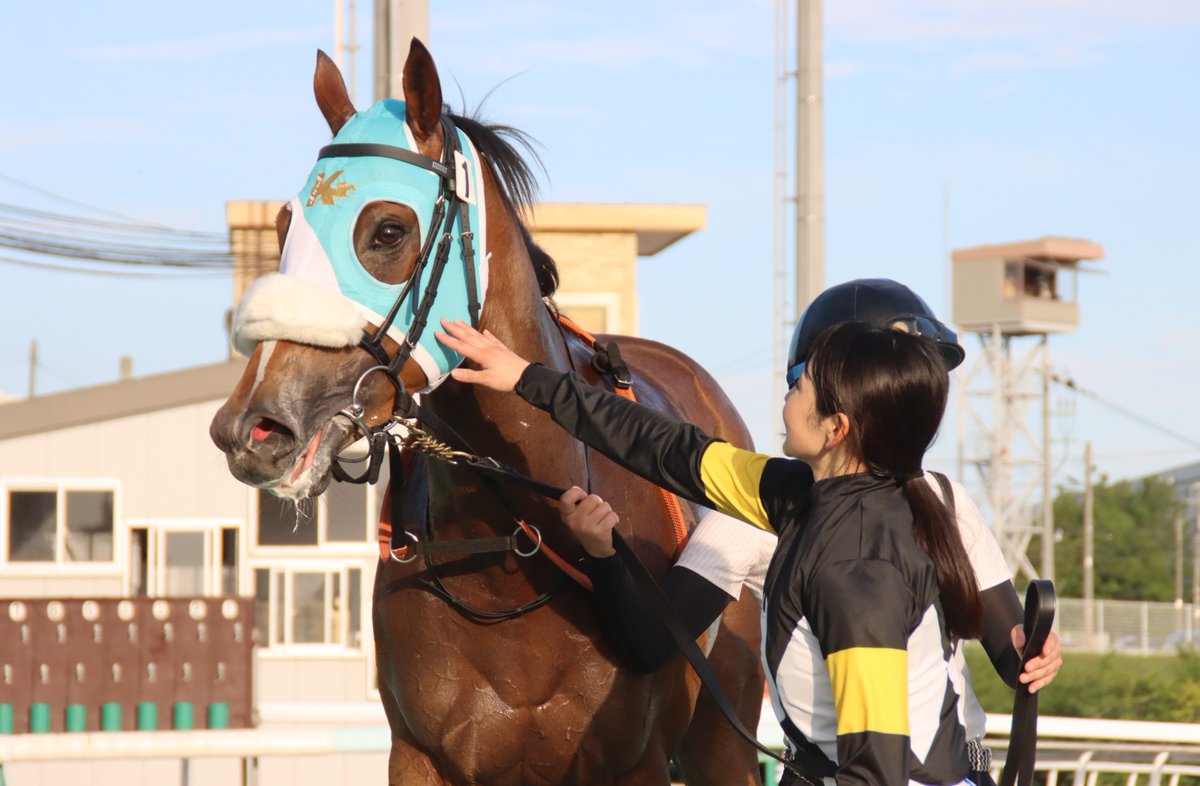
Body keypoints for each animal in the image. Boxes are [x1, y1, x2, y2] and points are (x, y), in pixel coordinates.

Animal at [210, 39, 765, 786]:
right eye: (284, 225)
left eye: (387, 230)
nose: (250, 429)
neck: (511, 545)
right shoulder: (421, 756)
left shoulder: (635, 760)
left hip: (724, 731)